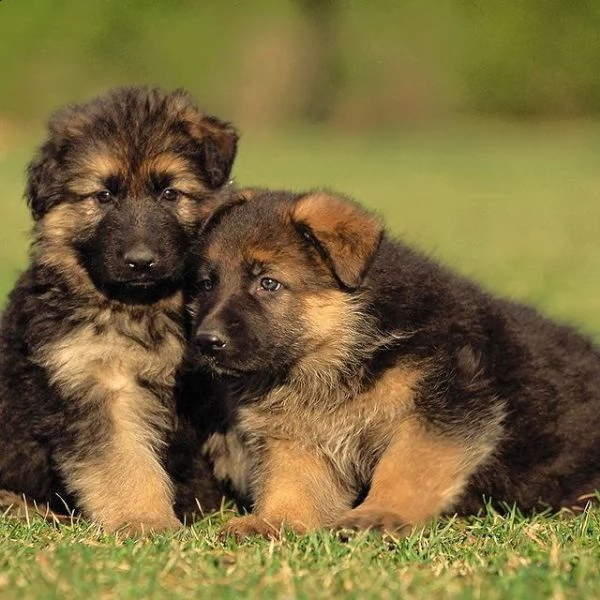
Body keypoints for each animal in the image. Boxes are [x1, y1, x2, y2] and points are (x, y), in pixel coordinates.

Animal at [0, 85, 239, 536]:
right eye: (104, 196)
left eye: (169, 193)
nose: (140, 261)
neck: (144, 308)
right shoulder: (101, 385)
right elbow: (126, 463)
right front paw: (145, 520)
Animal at [189, 189, 600, 540]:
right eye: (207, 284)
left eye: (269, 283)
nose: (205, 342)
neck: (341, 349)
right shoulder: (297, 438)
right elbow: (291, 483)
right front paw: (276, 521)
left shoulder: (442, 412)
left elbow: (405, 467)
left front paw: (381, 514)